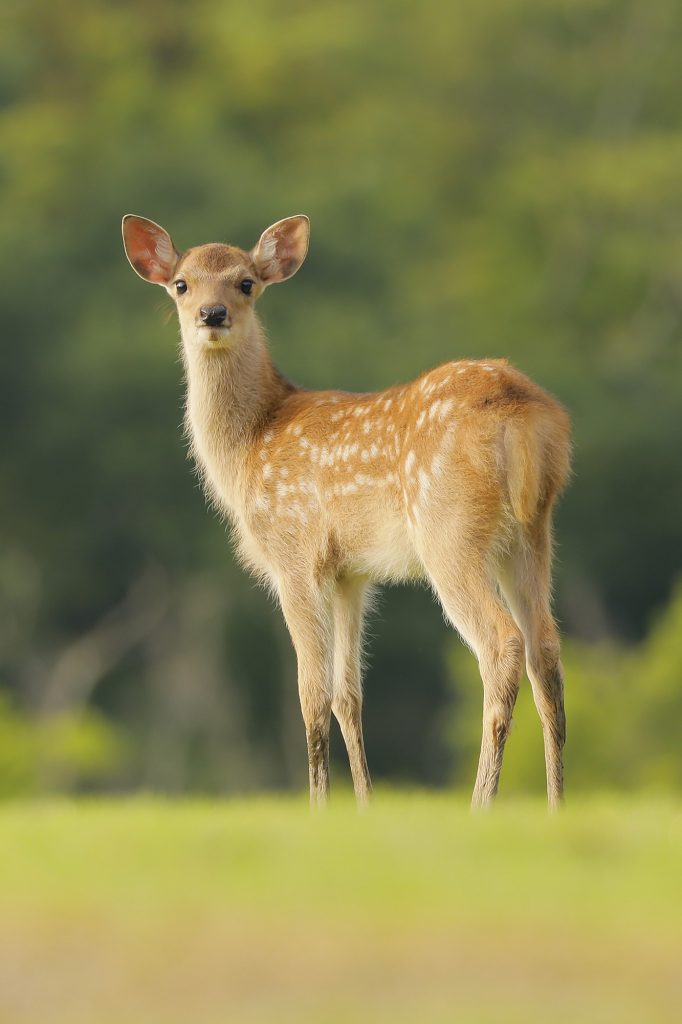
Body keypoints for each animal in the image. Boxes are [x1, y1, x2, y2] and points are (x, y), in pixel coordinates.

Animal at [122, 214, 569, 806]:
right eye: (181, 284)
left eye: (246, 282)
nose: (211, 314)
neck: (250, 444)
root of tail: (523, 411)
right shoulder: (348, 574)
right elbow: (347, 696)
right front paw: (364, 806)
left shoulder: (293, 555)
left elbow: (311, 694)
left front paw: (318, 807)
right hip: (532, 532)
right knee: (547, 648)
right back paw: (556, 805)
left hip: (448, 531)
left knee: (503, 645)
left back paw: (480, 804)